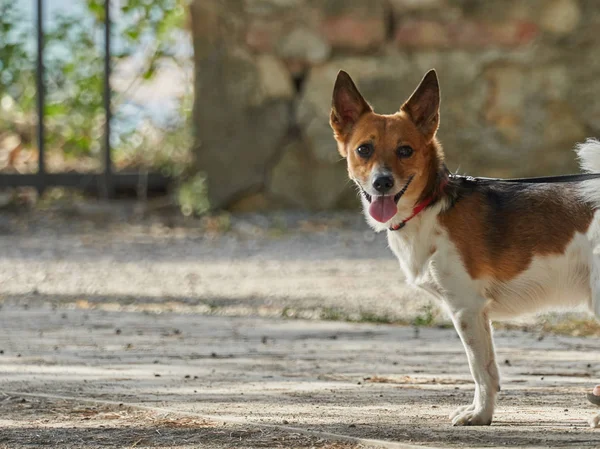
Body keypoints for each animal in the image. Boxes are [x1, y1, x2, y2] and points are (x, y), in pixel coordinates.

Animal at [330, 68, 600, 426]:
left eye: (405, 150)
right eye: (364, 150)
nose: (382, 182)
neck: (431, 206)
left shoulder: (465, 308)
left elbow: (479, 370)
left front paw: (480, 415)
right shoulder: (478, 314)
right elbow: (489, 371)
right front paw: (483, 411)